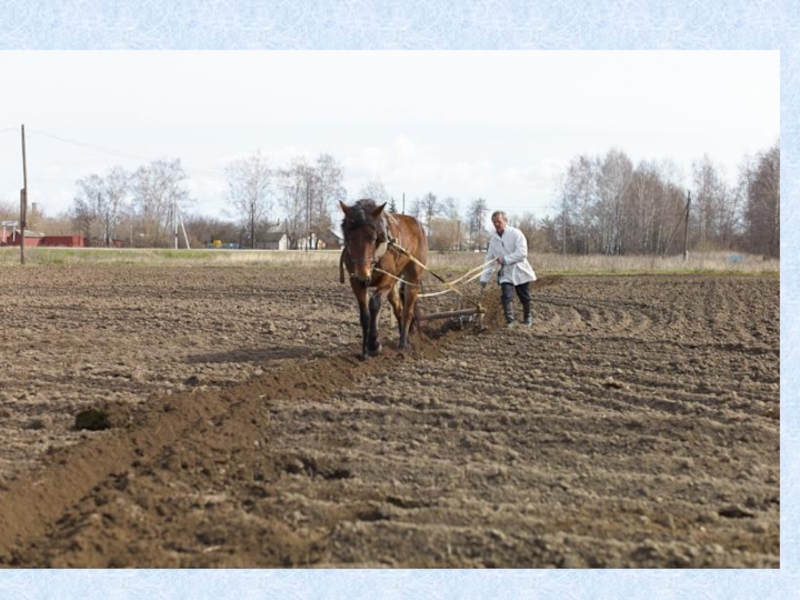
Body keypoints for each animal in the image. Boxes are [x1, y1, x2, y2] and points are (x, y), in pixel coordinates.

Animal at [340, 198, 428, 360]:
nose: (363, 276)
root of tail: (418, 224)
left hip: (412, 278)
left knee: (407, 310)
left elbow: (374, 304)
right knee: (399, 308)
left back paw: (403, 343)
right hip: (394, 285)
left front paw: (374, 344)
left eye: (373, 238)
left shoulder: (387, 278)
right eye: (350, 237)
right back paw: (403, 336)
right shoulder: (355, 282)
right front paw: (365, 352)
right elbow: (365, 315)